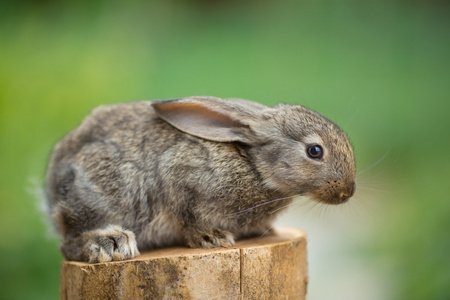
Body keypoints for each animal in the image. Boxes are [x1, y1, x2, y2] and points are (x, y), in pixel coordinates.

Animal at [45, 95, 356, 262]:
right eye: (315, 151)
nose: (348, 192)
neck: (255, 165)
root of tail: (49, 194)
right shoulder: (179, 179)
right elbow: (188, 217)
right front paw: (212, 237)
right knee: (68, 243)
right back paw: (110, 244)